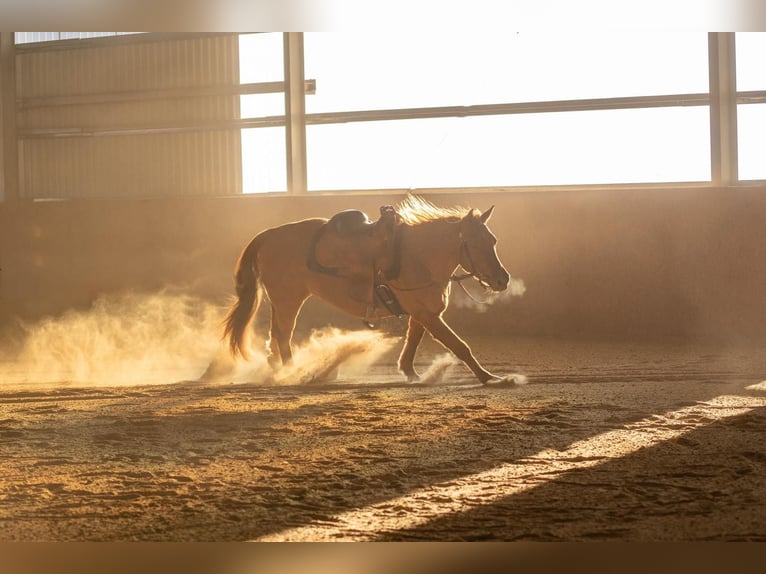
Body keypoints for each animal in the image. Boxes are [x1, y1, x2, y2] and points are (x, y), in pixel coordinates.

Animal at [223, 194, 512, 384]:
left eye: (493, 240)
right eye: (476, 243)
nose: (503, 279)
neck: (417, 255)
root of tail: (268, 235)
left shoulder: (422, 313)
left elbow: (413, 341)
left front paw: (410, 372)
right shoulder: (428, 315)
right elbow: (460, 346)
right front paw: (491, 378)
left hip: (282, 301)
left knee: (276, 337)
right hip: (288, 300)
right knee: (283, 336)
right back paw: (294, 372)